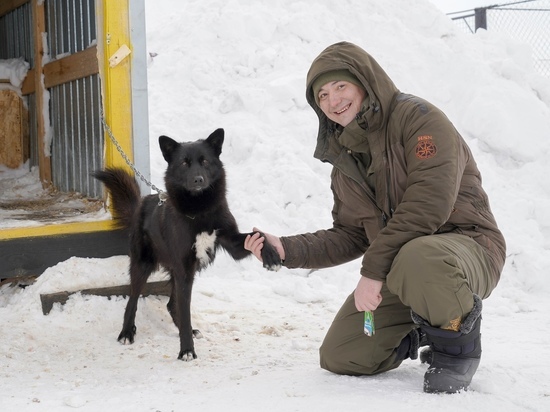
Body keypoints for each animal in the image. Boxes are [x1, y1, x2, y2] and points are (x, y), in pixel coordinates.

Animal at [94, 129, 280, 360]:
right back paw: (127, 332)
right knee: (133, 300)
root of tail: (141, 204)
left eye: (205, 160)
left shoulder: (231, 244)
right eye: (184, 163)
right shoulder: (184, 269)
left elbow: (259, 234)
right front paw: (187, 351)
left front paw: (272, 256)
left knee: (171, 304)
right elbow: (185, 312)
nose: (198, 179)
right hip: (144, 265)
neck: (200, 211)